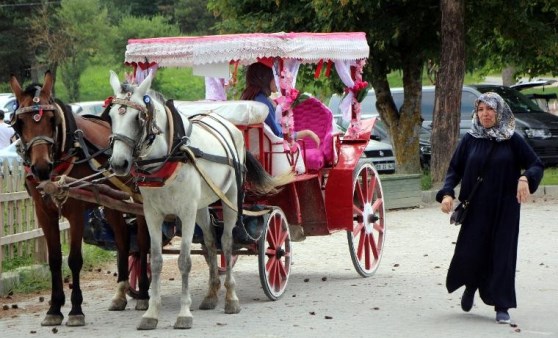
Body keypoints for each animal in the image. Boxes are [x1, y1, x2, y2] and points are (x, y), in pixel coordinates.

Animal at [9, 72, 152, 328]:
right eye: (19, 123)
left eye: (52, 119)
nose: (41, 167)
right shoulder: (43, 211)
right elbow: (55, 259)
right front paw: (54, 308)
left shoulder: (75, 211)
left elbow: (74, 259)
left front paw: (76, 310)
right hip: (112, 202)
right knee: (123, 240)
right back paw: (120, 293)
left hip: (140, 199)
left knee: (144, 243)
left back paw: (144, 293)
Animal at [106, 70, 288, 328]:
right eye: (111, 115)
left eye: (137, 118)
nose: (118, 163)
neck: (170, 156)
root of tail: (227, 124)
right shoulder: (152, 214)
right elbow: (157, 260)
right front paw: (151, 313)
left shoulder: (187, 212)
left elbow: (184, 261)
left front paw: (184, 313)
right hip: (203, 206)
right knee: (211, 244)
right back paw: (211, 294)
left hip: (230, 198)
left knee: (227, 243)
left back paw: (231, 298)